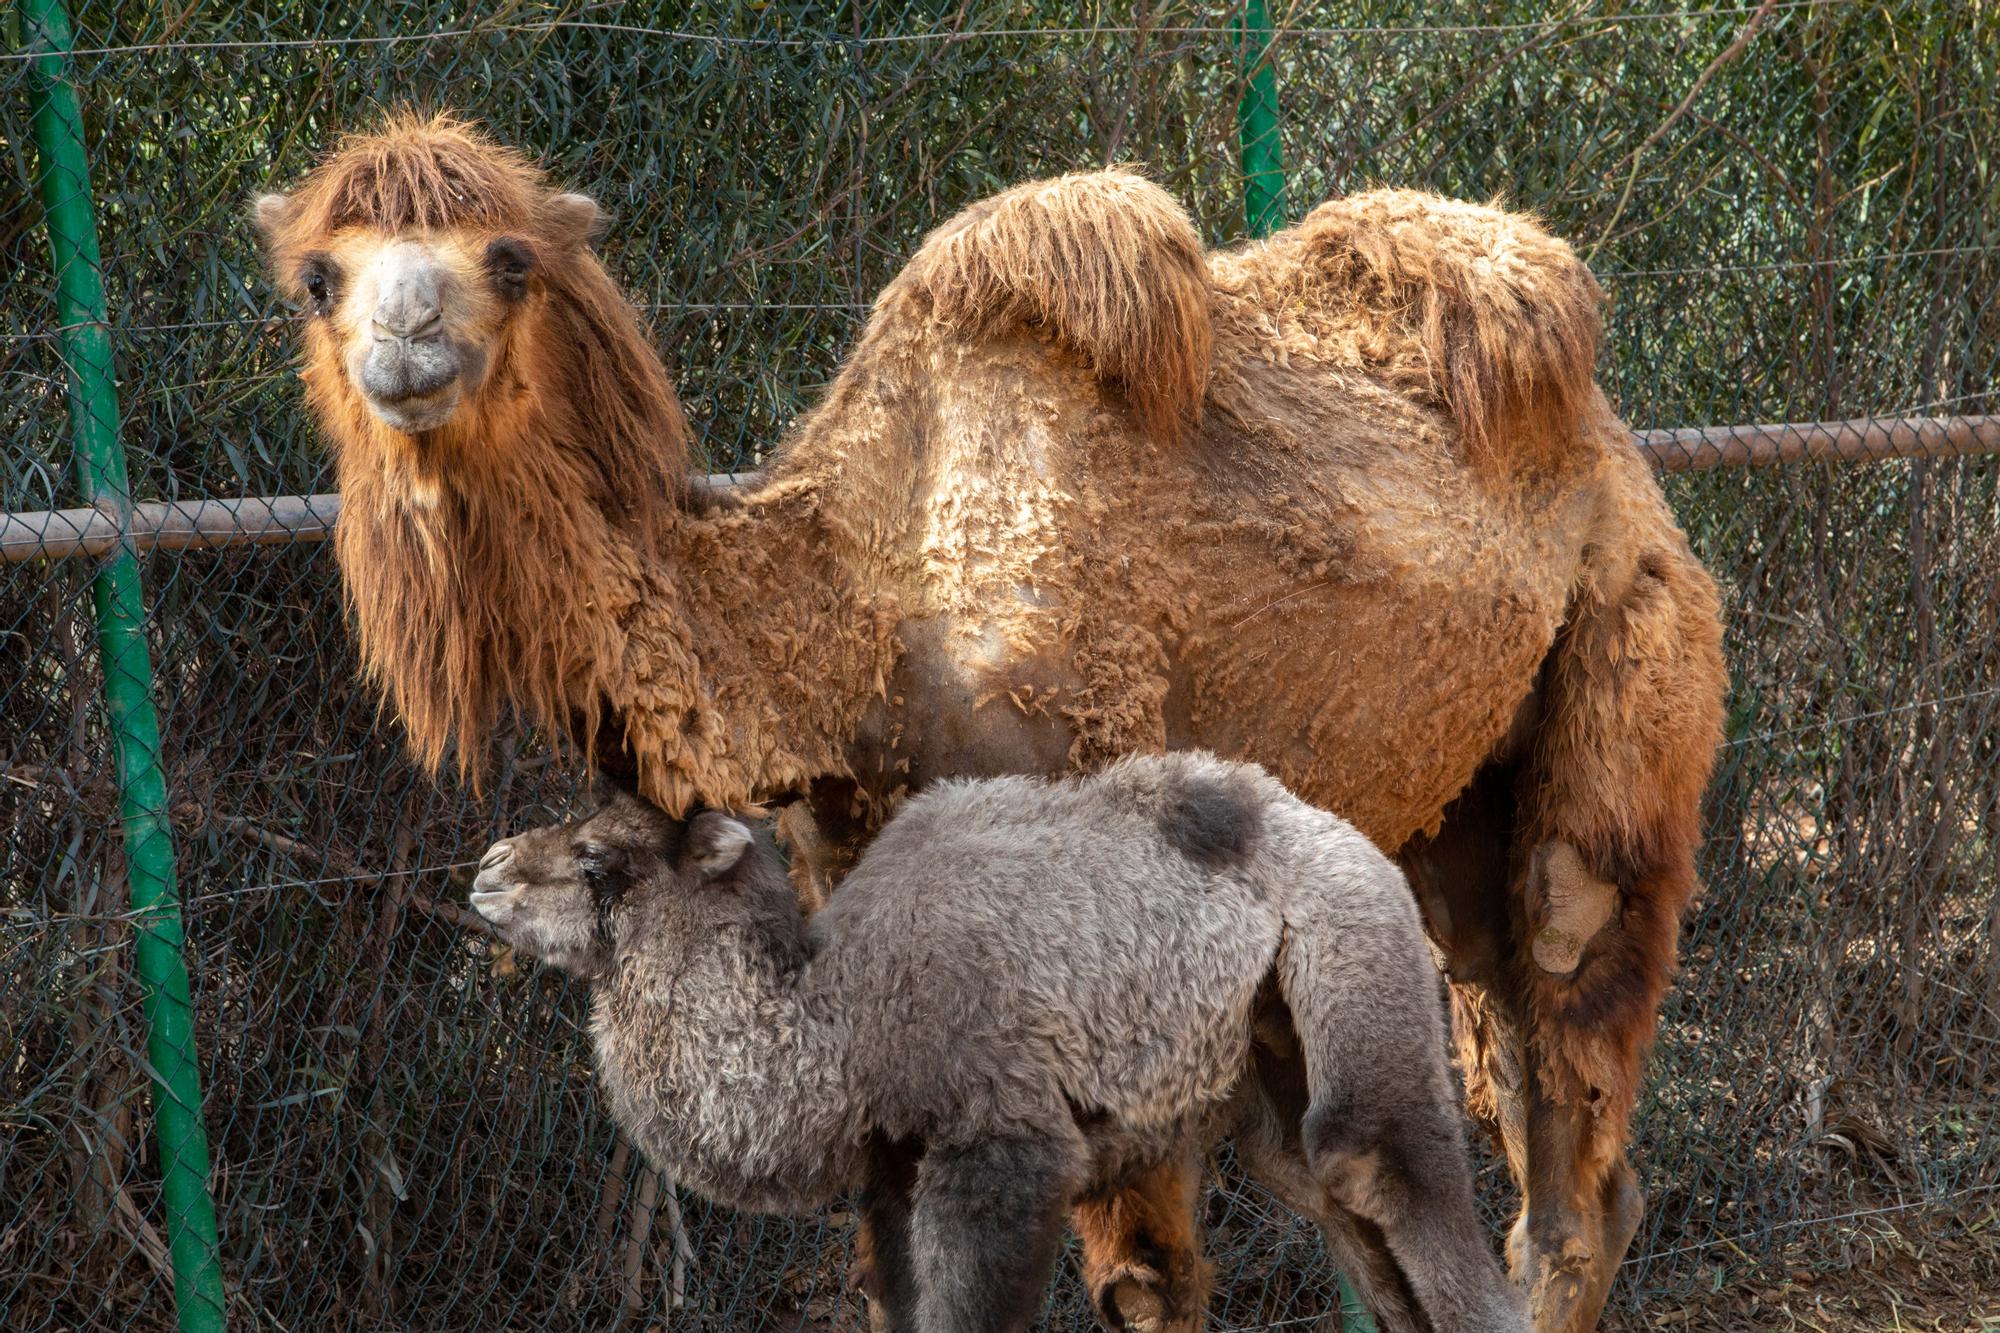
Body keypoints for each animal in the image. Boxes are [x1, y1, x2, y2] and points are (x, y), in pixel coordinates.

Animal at [472, 748, 1528, 1328]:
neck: (845, 1019)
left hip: (1355, 947)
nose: (486, 868)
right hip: (1269, 1054)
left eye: (598, 860)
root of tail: (1346, 835)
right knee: (1324, 1190)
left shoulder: (1001, 1148)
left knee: (1378, 1160)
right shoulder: (895, 1168)